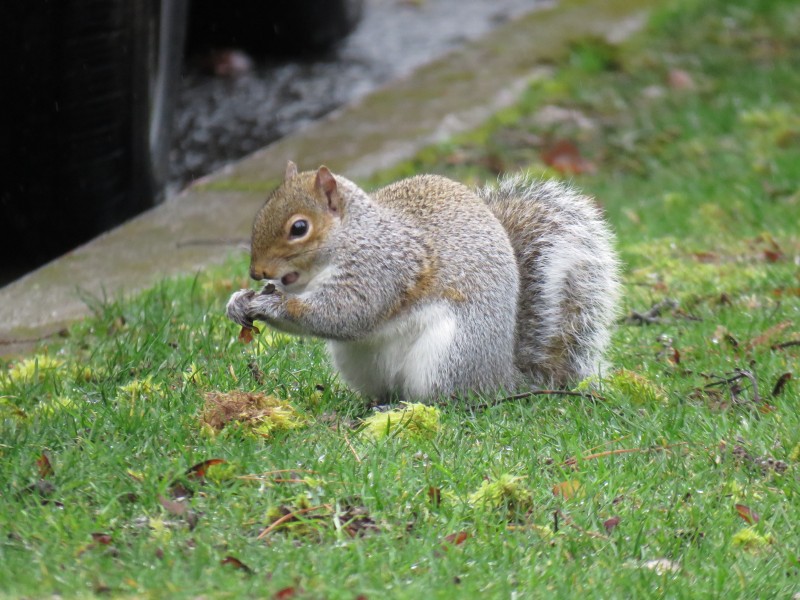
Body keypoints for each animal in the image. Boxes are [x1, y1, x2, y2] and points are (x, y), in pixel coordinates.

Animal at [228, 162, 620, 400]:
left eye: (299, 228)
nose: (257, 272)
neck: (353, 235)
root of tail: (502, 377)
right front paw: (239, 300)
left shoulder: (384, 267)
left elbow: (345, 314)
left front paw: (271, 304)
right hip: (359, 363)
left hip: (448, 355)